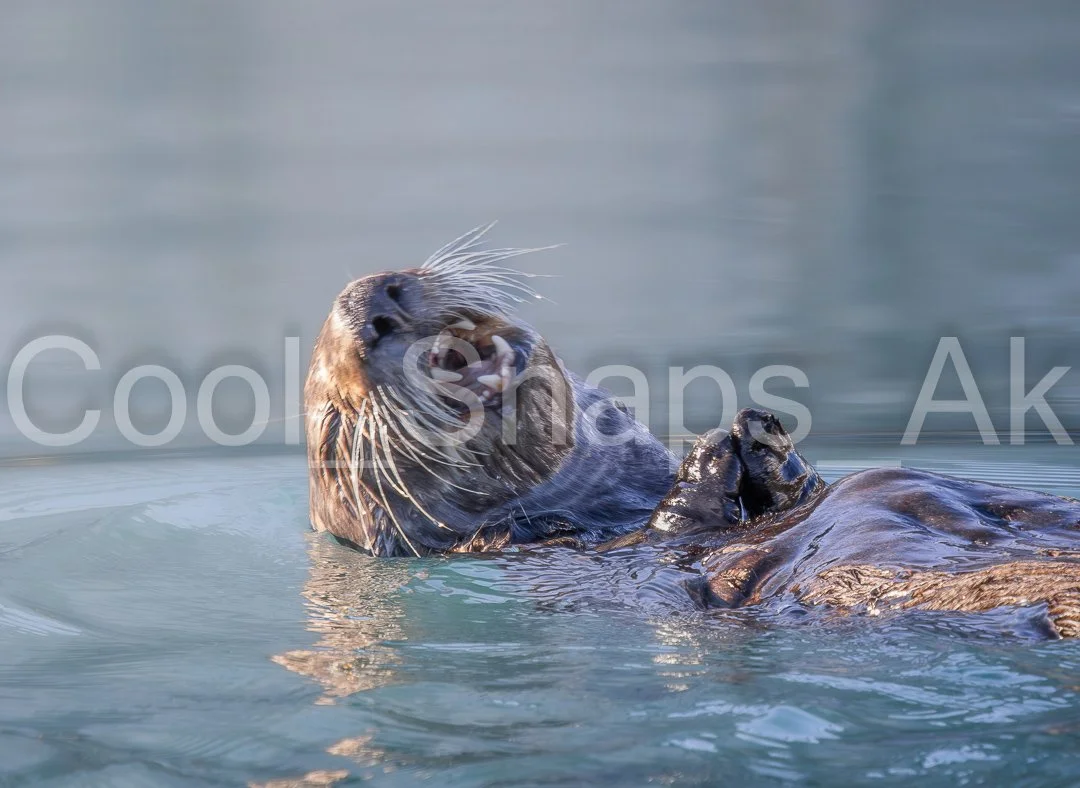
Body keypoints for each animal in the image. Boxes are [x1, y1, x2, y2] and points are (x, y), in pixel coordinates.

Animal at [305, 227, 1080, 636]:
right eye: (334, 426)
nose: (371, 304)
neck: (606, 510)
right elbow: (684, 528)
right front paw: (710, 457)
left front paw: (765, 441)